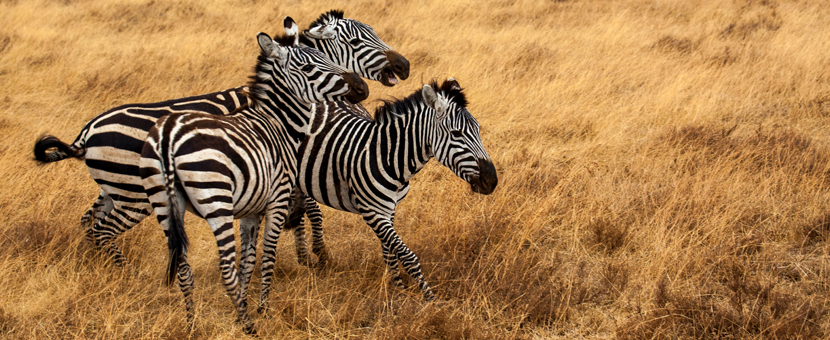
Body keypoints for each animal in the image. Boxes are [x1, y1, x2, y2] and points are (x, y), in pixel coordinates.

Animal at [31, 9, 410, 266]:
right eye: (356, 41)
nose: (404, 66)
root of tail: (87, 131)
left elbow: (299, 210)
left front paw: (303, 254)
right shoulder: (303, 159)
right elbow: (312, 210)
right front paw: (317, 256)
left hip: (115, 188)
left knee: (88, 222)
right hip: (131, 194)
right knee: (100, 227)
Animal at [139, 20, 368, 334]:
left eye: (326, 57)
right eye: (309, 67)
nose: (362, 87)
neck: (279, 125)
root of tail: (167, 133)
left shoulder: (251, 210)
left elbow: (248, 261)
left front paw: (241, 307)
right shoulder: (277, 200)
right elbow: (267, 255)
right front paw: (260, 309)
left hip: (163, 203)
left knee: (184, 267)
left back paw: (192, 324)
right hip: (215, 198)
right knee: (225, 269)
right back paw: (250, 327)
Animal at [260, 79, 498, 306]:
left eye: (478, 129)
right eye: (456, 134)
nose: (492, 181)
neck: (388, 156)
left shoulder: (388, 210)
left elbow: (389, 252)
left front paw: (398, 289)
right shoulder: (372, 212)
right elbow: (408, 256)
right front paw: (429, 298)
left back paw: (305, 255)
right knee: (309, 208)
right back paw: (316, 254)